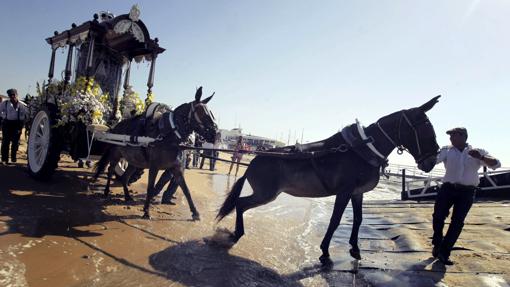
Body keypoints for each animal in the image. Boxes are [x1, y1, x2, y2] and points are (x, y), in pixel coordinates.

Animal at [94, 86, 218, 219]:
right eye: (201, 112)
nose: (215, 133)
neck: (169, 135)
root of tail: (116, 126)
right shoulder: (154, 167)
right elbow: (150, 187)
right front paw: (146, 211)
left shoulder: (177, 168)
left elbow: (186, 190)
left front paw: (195, 212)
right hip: (116, 154)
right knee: (110, 170)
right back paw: (106, 191)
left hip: (134, 161)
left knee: (124, 177)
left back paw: (127, 196)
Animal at [217, 97, 440, 266]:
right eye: (425, 127)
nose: (432, 161)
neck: (360, 149)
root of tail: (255, 159)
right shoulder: (344, 191)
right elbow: (335, 220)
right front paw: (325, 252)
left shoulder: (357, 193)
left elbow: (358, 219)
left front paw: (355, 248)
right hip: (266, 194)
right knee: (240, 203)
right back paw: (238, 233)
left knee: (240, 204)